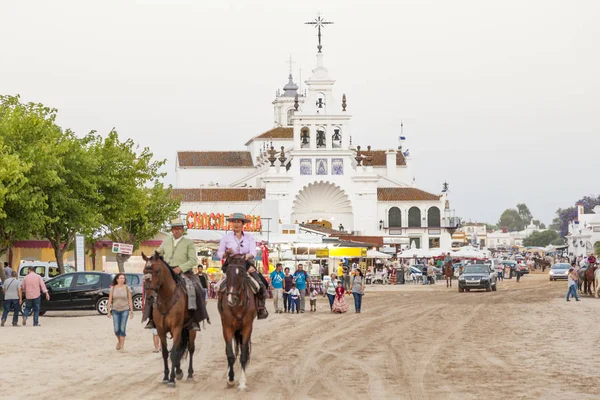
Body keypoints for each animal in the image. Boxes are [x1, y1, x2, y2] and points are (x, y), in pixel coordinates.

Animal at [142, 252, 197, 386]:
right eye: (144, 271)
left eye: (157, 271)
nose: (150, 297)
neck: (166, 299)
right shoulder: (161, 330)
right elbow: (166, 353)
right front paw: (166, 376)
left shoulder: (176, 328)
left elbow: (174, 353)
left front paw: (172, 379)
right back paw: (179, 370)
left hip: (191, 330)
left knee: (191, 348)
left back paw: (189, 374)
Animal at [220, 255, 258, 390]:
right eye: (227, 272)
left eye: (241, 274)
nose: (231, 298)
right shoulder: (227, 327)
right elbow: (230, 354)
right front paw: (230, 378)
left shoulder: (247, 327)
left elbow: (244, 354)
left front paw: (242, 382)